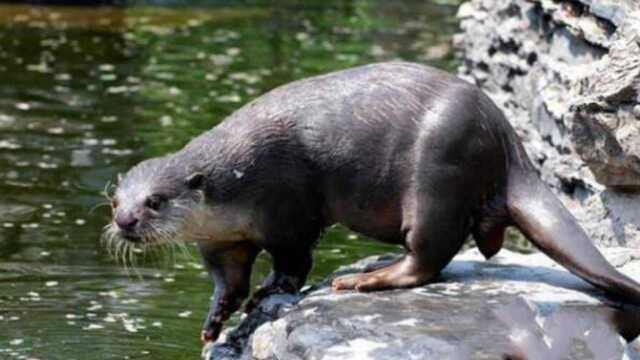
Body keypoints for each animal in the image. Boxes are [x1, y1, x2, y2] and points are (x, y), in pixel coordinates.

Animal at [101, 62, 640, 344]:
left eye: (155, 201)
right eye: (114, 201)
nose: (126, 221)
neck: (234, 181)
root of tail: (504, 137)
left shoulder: (285, 208)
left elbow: (293, 263)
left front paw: (268, 293)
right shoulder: (223, 242)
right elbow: (228, 282)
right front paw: (215, 320)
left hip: (437, 171)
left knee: (429, 257)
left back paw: (366, 278)